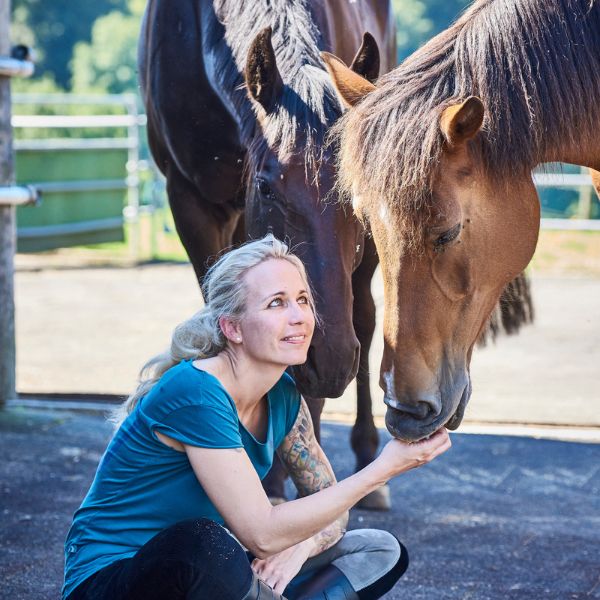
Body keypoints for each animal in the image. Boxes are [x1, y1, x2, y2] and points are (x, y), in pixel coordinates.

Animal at [138, 0, 396, 506]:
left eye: (352, 190)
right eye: (266, 186)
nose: (329, 358)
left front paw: (283, 478)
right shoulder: (191, 202)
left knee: (366, 318)